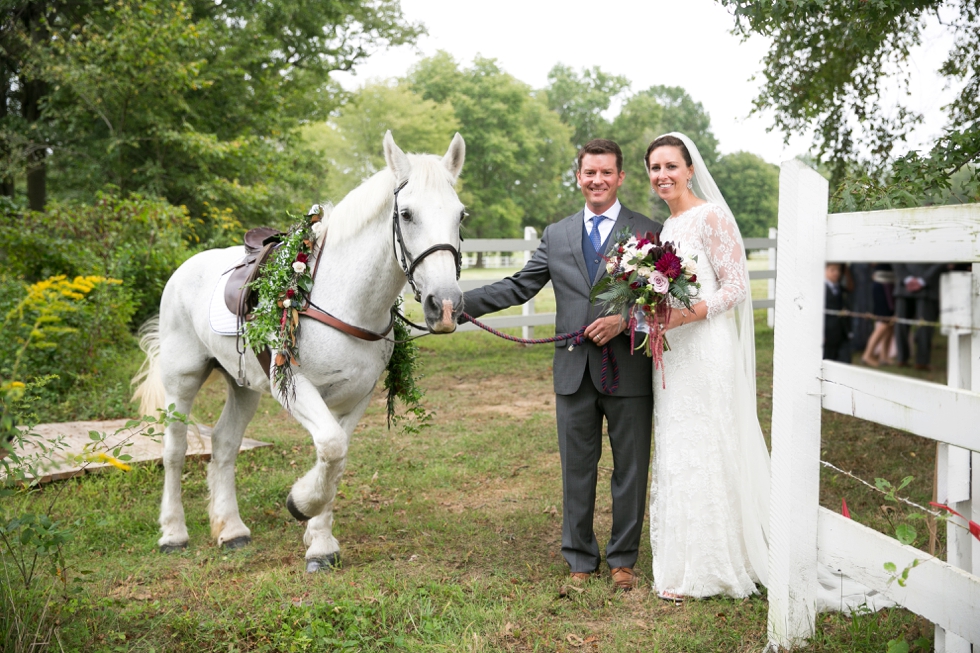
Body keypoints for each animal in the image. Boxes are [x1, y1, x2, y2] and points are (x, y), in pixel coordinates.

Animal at [134, 130, 468, 568]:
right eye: (407, 214)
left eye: (461, 216)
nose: (444, 305)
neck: (342, 300)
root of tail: (184, 270)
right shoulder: (293, 386)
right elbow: (331, 446)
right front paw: (301, 505)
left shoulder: (355, 397)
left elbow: (336, 457)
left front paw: (320, 541)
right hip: (182, 379)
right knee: (174, 449)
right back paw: (173, 533)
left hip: (242, 385)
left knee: (224, 445)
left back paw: (232, 529)